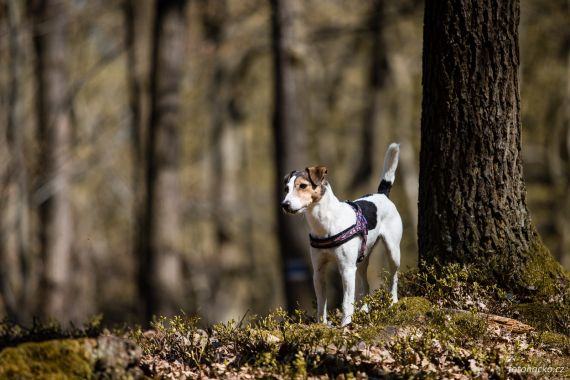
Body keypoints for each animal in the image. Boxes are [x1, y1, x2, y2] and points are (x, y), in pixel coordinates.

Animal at [282, 144, 402, 326]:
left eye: (302, 186)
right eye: (286, 189)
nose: (284, 204)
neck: (325, 224)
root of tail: (382, 194)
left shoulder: (346, 269)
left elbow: (346, 302)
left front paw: (345, 324)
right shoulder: (318, 271)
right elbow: (321, 304)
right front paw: (322, 325)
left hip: (392, 252)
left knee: (393, 278)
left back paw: (393, 303)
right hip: (361, 260)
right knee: (365, 285)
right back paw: (364, 309)